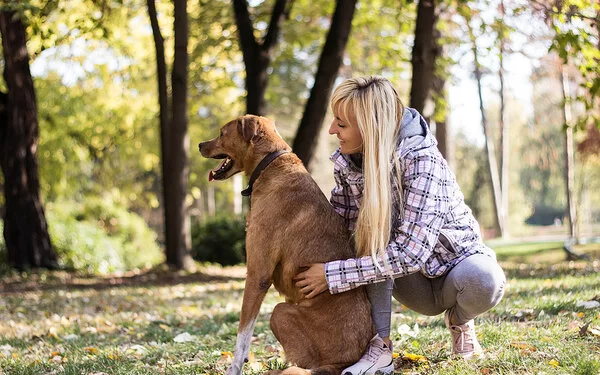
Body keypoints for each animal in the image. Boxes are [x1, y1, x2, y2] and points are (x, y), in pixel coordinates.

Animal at [199, 116, 372, 374]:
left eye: (221, 133)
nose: (200, 144)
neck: (270, 163)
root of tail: (341, 364)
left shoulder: (258, 275)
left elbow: (243, 334)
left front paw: (234, 368)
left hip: (279, 313)